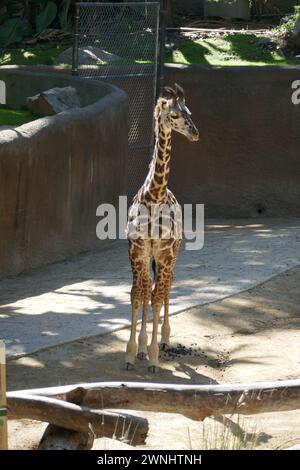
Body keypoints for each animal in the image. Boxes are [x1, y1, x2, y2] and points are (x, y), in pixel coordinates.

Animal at [126, 83, 199, 370]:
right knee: (151, 288)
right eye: (175, 115)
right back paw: (144, 346)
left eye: (189, 112)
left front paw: (154, 357)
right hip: (152, 257)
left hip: (173, 254)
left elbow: (157, 297)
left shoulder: (165, 252)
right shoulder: (138, 252)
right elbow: (139, 294)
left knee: (166, 287)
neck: (155, 196)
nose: (195, 133)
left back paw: (165, 339)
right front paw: (132, 353)